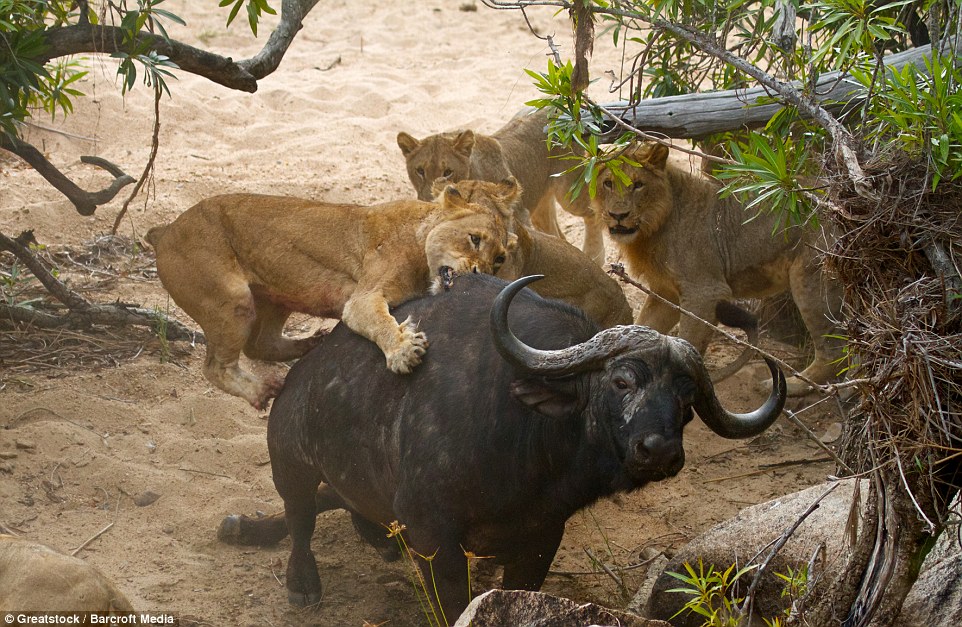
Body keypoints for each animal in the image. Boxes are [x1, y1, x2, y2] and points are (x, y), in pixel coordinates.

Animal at [145, 184, 512, 410]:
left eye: (499, 260)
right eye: (474, 239)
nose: (479, 273)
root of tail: (166, 229)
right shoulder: (362, 298)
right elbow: (380, 322)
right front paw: (404, 351)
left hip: (277, 296)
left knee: (259, 345)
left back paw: (310, 344)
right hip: (233, 301)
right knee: (215, 367)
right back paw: (263, 390)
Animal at [260, 274, 780, 620]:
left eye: (687, 399)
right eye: (622, 381)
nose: (660, 451)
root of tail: (298, 379)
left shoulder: (542, 536)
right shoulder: (433, 535)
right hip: (289, 464)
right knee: (300, 518)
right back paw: (302, 583)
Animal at [394, 105, 604, 264]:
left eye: (448, 171)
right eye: (420, 171)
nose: (427, 200)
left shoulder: (520, 214)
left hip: (570, 192)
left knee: (593, 214)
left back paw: (595, 256)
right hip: (540, 206)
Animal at [592, 145, 840, 394]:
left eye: (638, 184)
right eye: (608, 183)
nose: (618, 215)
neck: (655, 225)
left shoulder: (704, 291)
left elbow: (689, 343)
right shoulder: (666, 293)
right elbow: (645, 327)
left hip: (811, 278)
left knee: (833, 352)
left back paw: (792, 385)